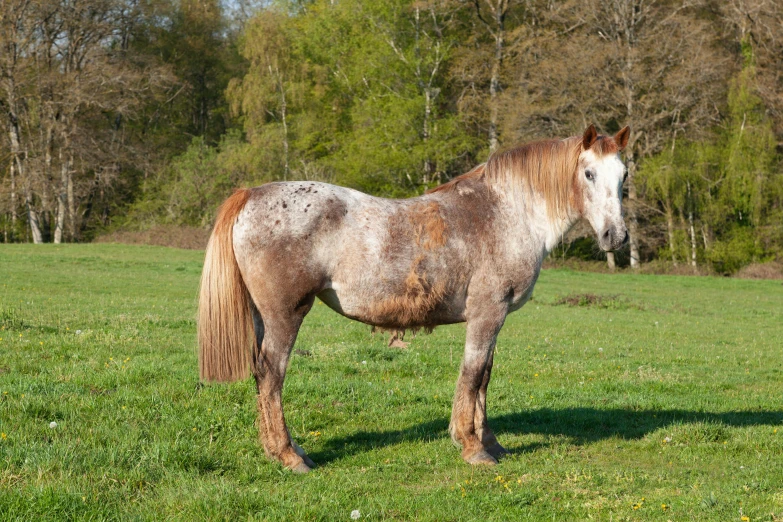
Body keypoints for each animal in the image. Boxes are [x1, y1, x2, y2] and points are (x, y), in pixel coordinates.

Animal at [199, 123, 632, 472]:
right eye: (589, 173)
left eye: (624, 175)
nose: (616, 237)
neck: (505, 212)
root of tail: (250, 195)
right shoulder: (488, 313)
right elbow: (473, 375)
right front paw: (473, 447)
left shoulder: (494, 318)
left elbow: (485, 377)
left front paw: (490, 442)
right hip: (286, 315)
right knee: (271, 375)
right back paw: (289, 456)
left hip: (263, 316)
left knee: (261, 378)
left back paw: (283, 450)